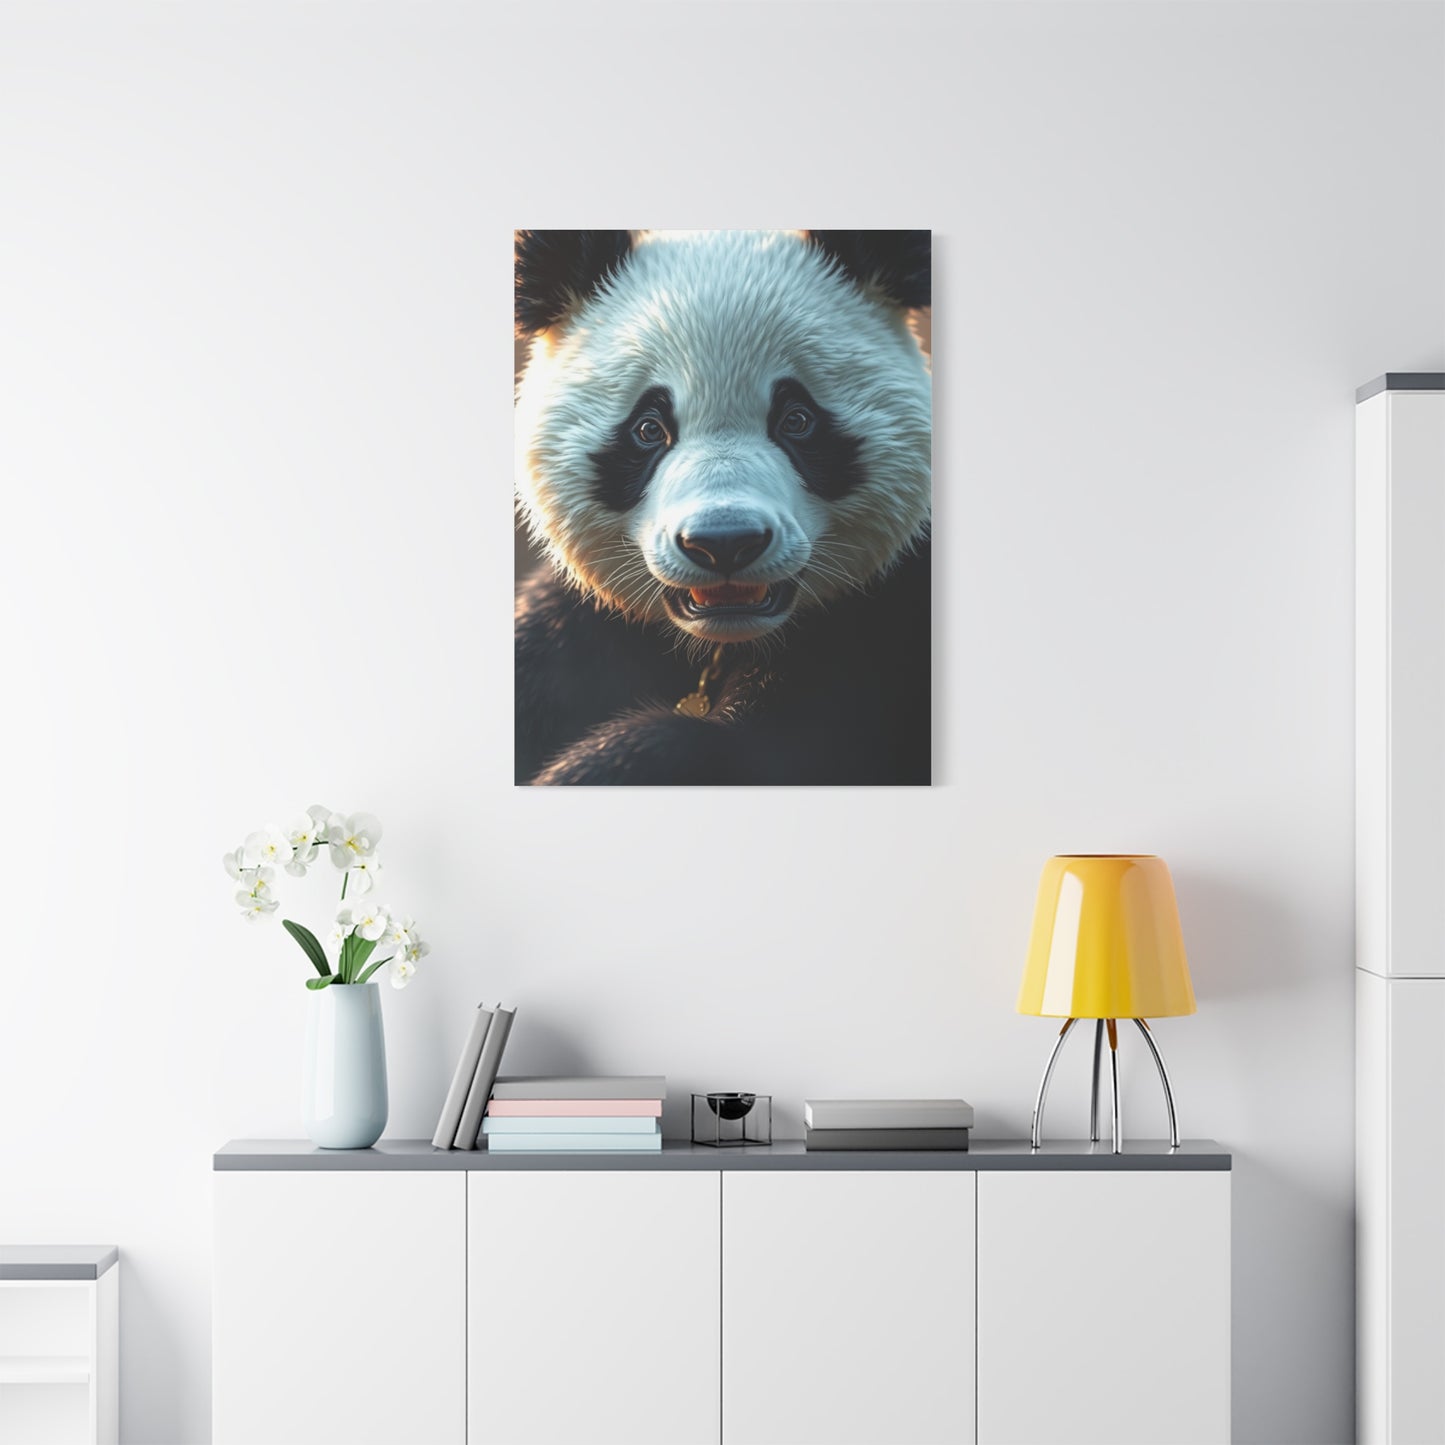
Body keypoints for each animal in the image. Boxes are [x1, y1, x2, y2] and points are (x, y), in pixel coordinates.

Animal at [514, 229, 931, 786]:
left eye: (797, 420)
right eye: (648, 429)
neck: (721, 641)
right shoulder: (582, 630)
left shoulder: (887, 629)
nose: (724, 543)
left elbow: (758, 754)